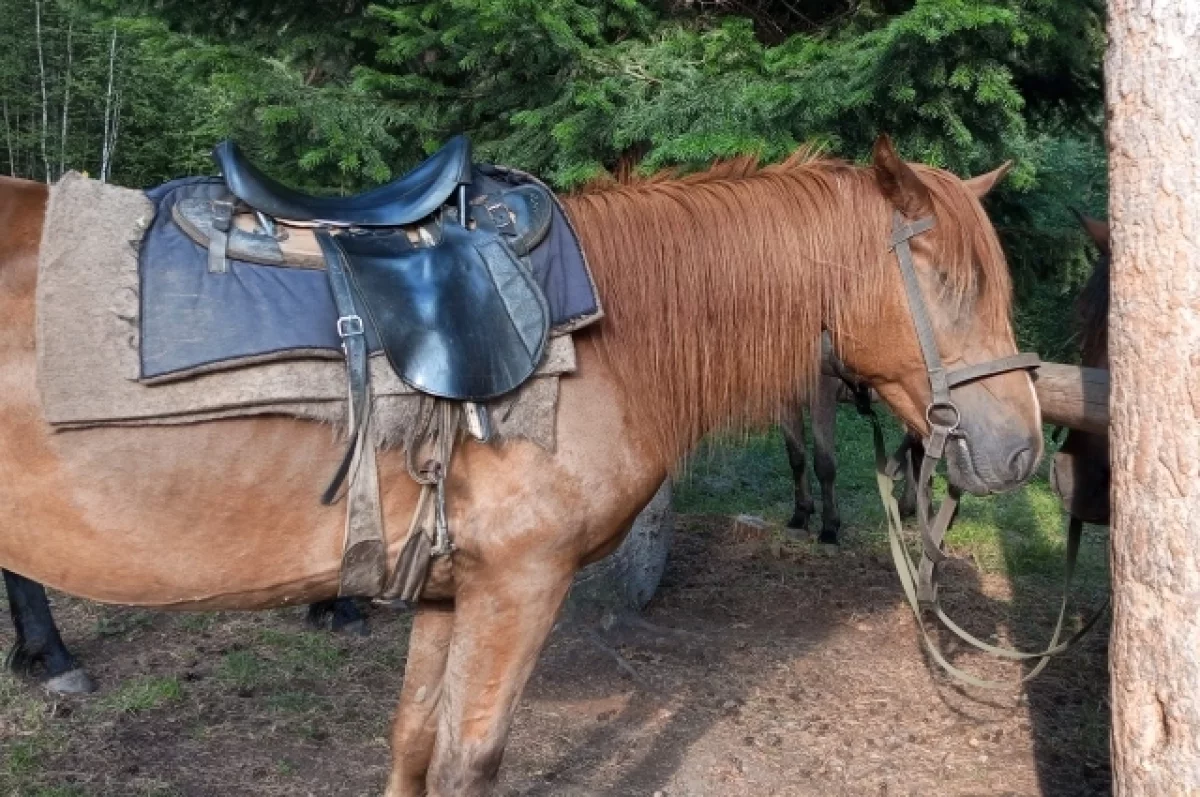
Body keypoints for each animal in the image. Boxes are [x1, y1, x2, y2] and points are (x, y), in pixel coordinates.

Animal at [0, 136, 1041, 796]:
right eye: (951, 284)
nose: (1022, 444)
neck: (611, 335)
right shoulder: (520, 585)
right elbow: (469, 763)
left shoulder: (447, 586)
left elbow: (412, 741)